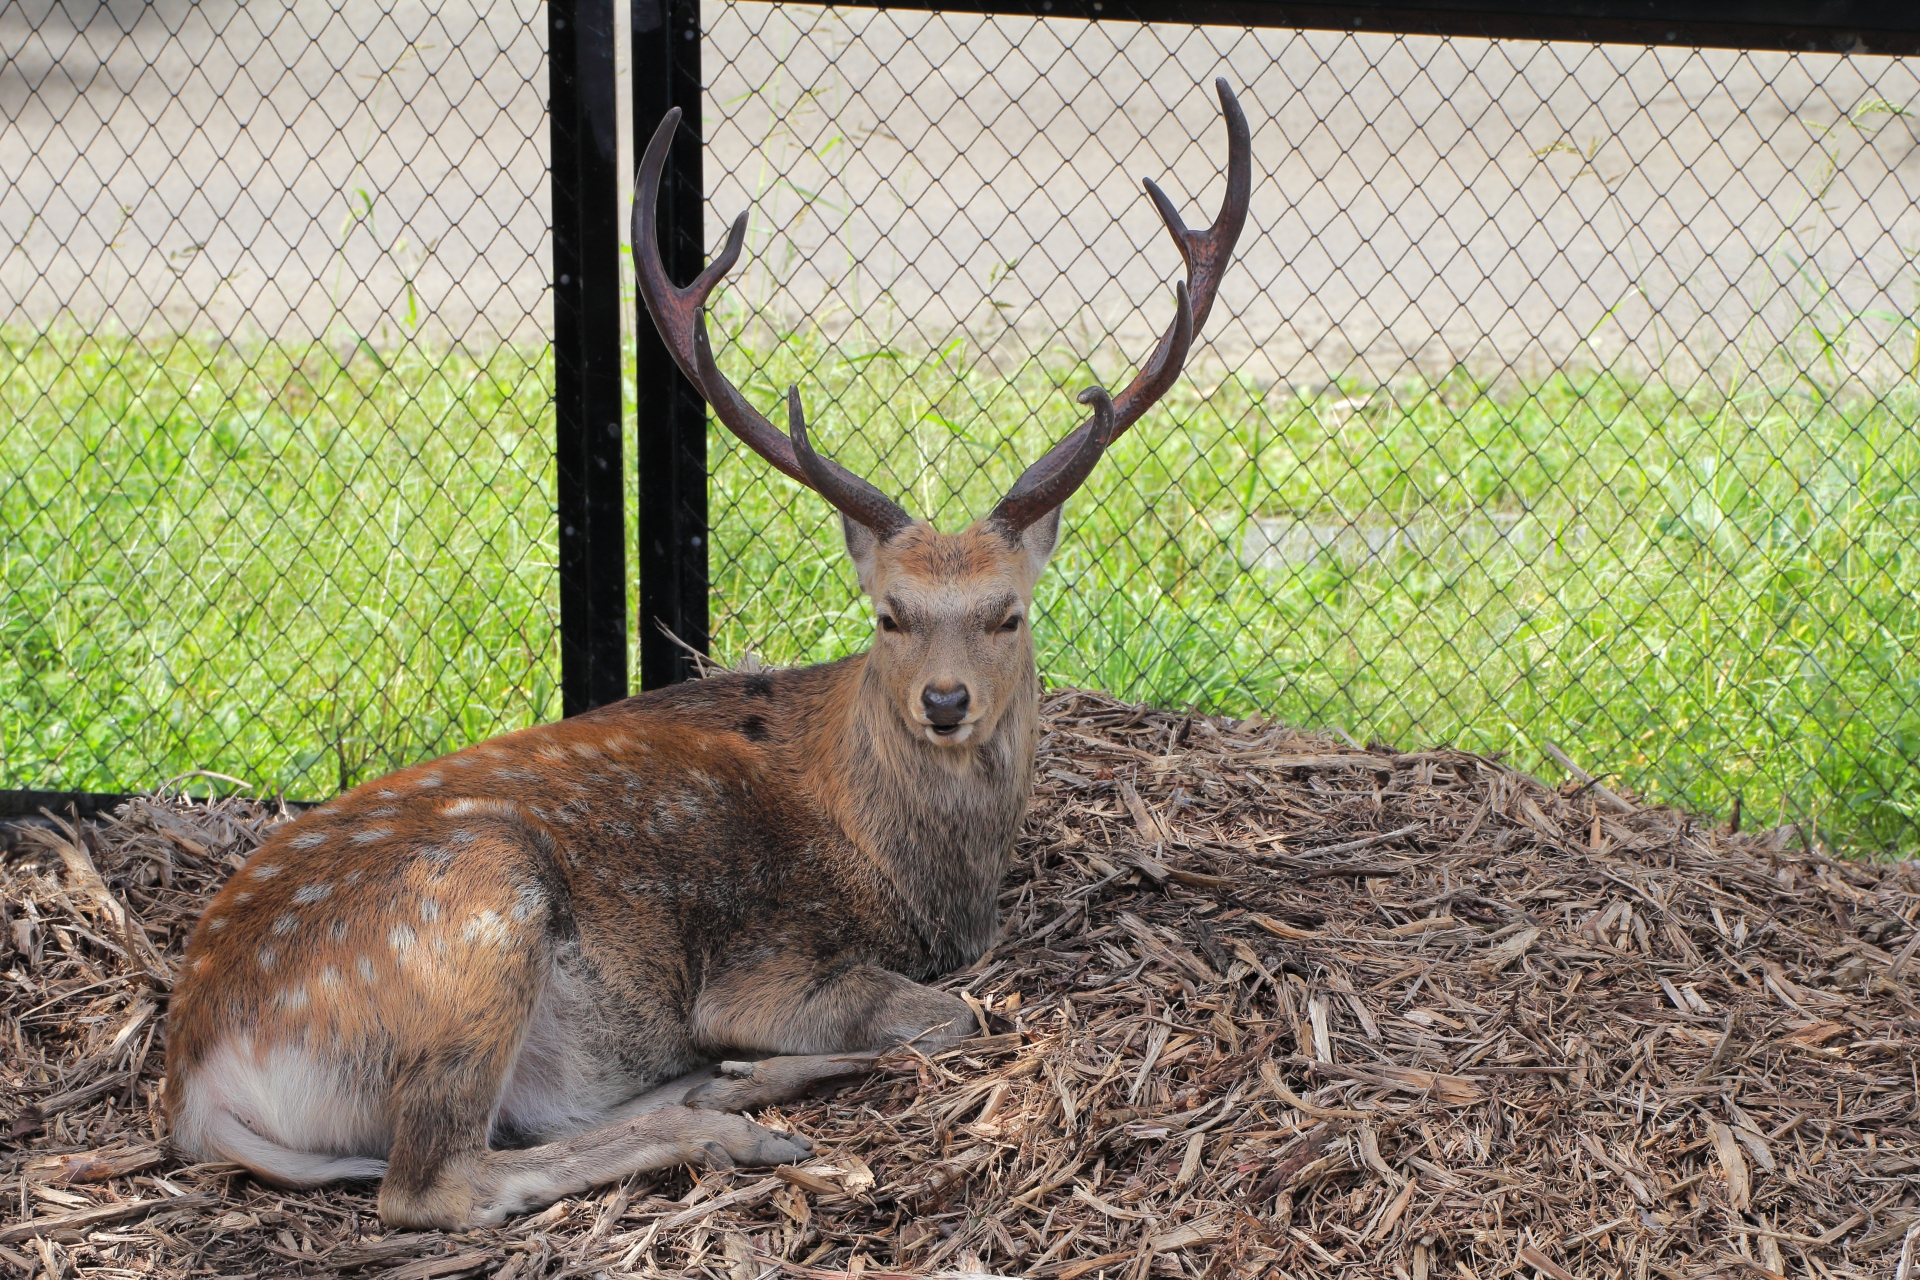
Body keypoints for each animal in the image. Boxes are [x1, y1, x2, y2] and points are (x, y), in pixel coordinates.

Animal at [161, 80, 1244, 1228]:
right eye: (888, 614)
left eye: (1009, 614)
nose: (946, 701)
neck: (922, 871)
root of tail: (195, 1084)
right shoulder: (769, 962)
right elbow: (955, 1014)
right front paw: (765, 1070)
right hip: (476, 911)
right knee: (435, 1179)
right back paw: (728, 1120)